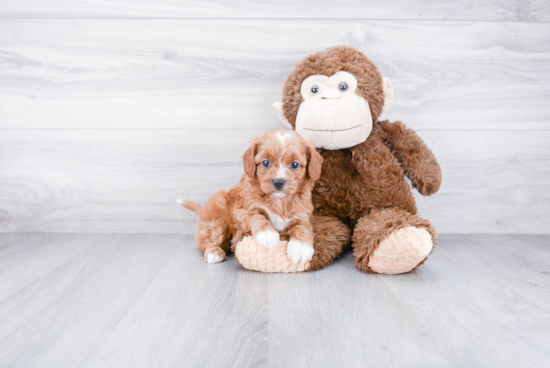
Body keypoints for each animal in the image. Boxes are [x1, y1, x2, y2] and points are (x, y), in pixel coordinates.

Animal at [179, 129, 324, 264]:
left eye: (294, 164)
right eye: (265, 163)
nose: (278, 182)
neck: (279, 201)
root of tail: (203, 210)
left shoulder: (302, 215)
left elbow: (303, 227)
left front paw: (301, 248)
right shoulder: (242, 210)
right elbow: (256, 216)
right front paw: (267, 234)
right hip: (218, 215)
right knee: (209, 240)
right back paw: (213, 253)